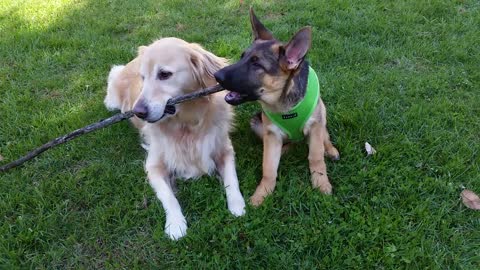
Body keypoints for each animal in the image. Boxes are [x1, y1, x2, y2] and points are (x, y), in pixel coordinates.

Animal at [216, 8, 340, 207]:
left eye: (256, 64)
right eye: (242, 57)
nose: (216, 75)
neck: (284, 105)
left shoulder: (315, 126)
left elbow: (316, 157)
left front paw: (321, 184)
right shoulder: (272, 134)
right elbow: (268, 168)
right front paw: (262, 194)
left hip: (322, 112)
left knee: (324, 135)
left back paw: (330, 149)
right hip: (257, 123)